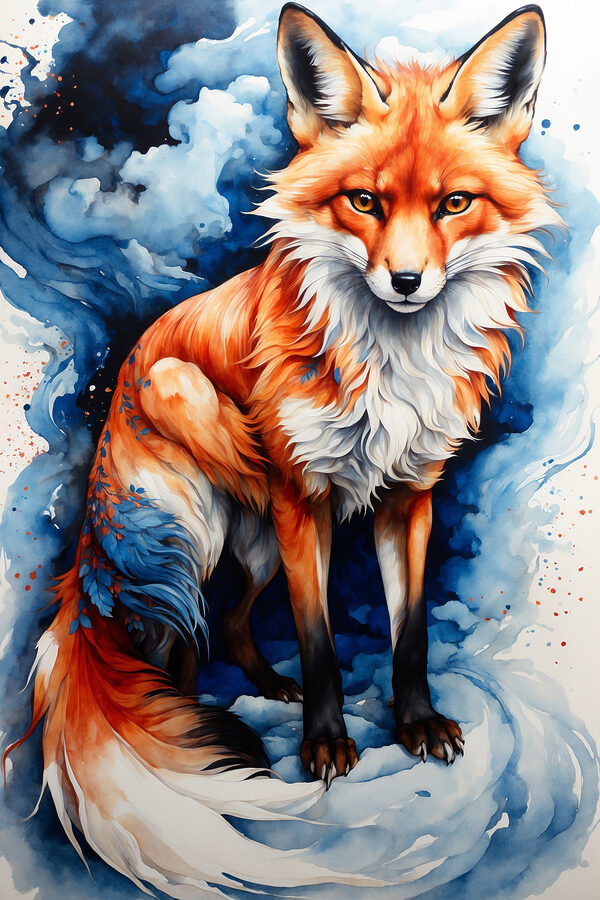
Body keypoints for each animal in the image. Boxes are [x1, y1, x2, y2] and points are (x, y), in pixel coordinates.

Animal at [5, 3, 560, 896]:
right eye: (363, 201)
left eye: (454, 203)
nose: (407, 283)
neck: (391, 366)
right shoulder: (308, 505)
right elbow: (322, 639)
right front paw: (327, 744)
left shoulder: (410, 501)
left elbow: (408, 633)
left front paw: (416, 725)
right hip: (193, 480)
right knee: (176, 642)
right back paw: (202, 718)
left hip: (256, 546)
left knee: (230, 626)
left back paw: (261, 689)